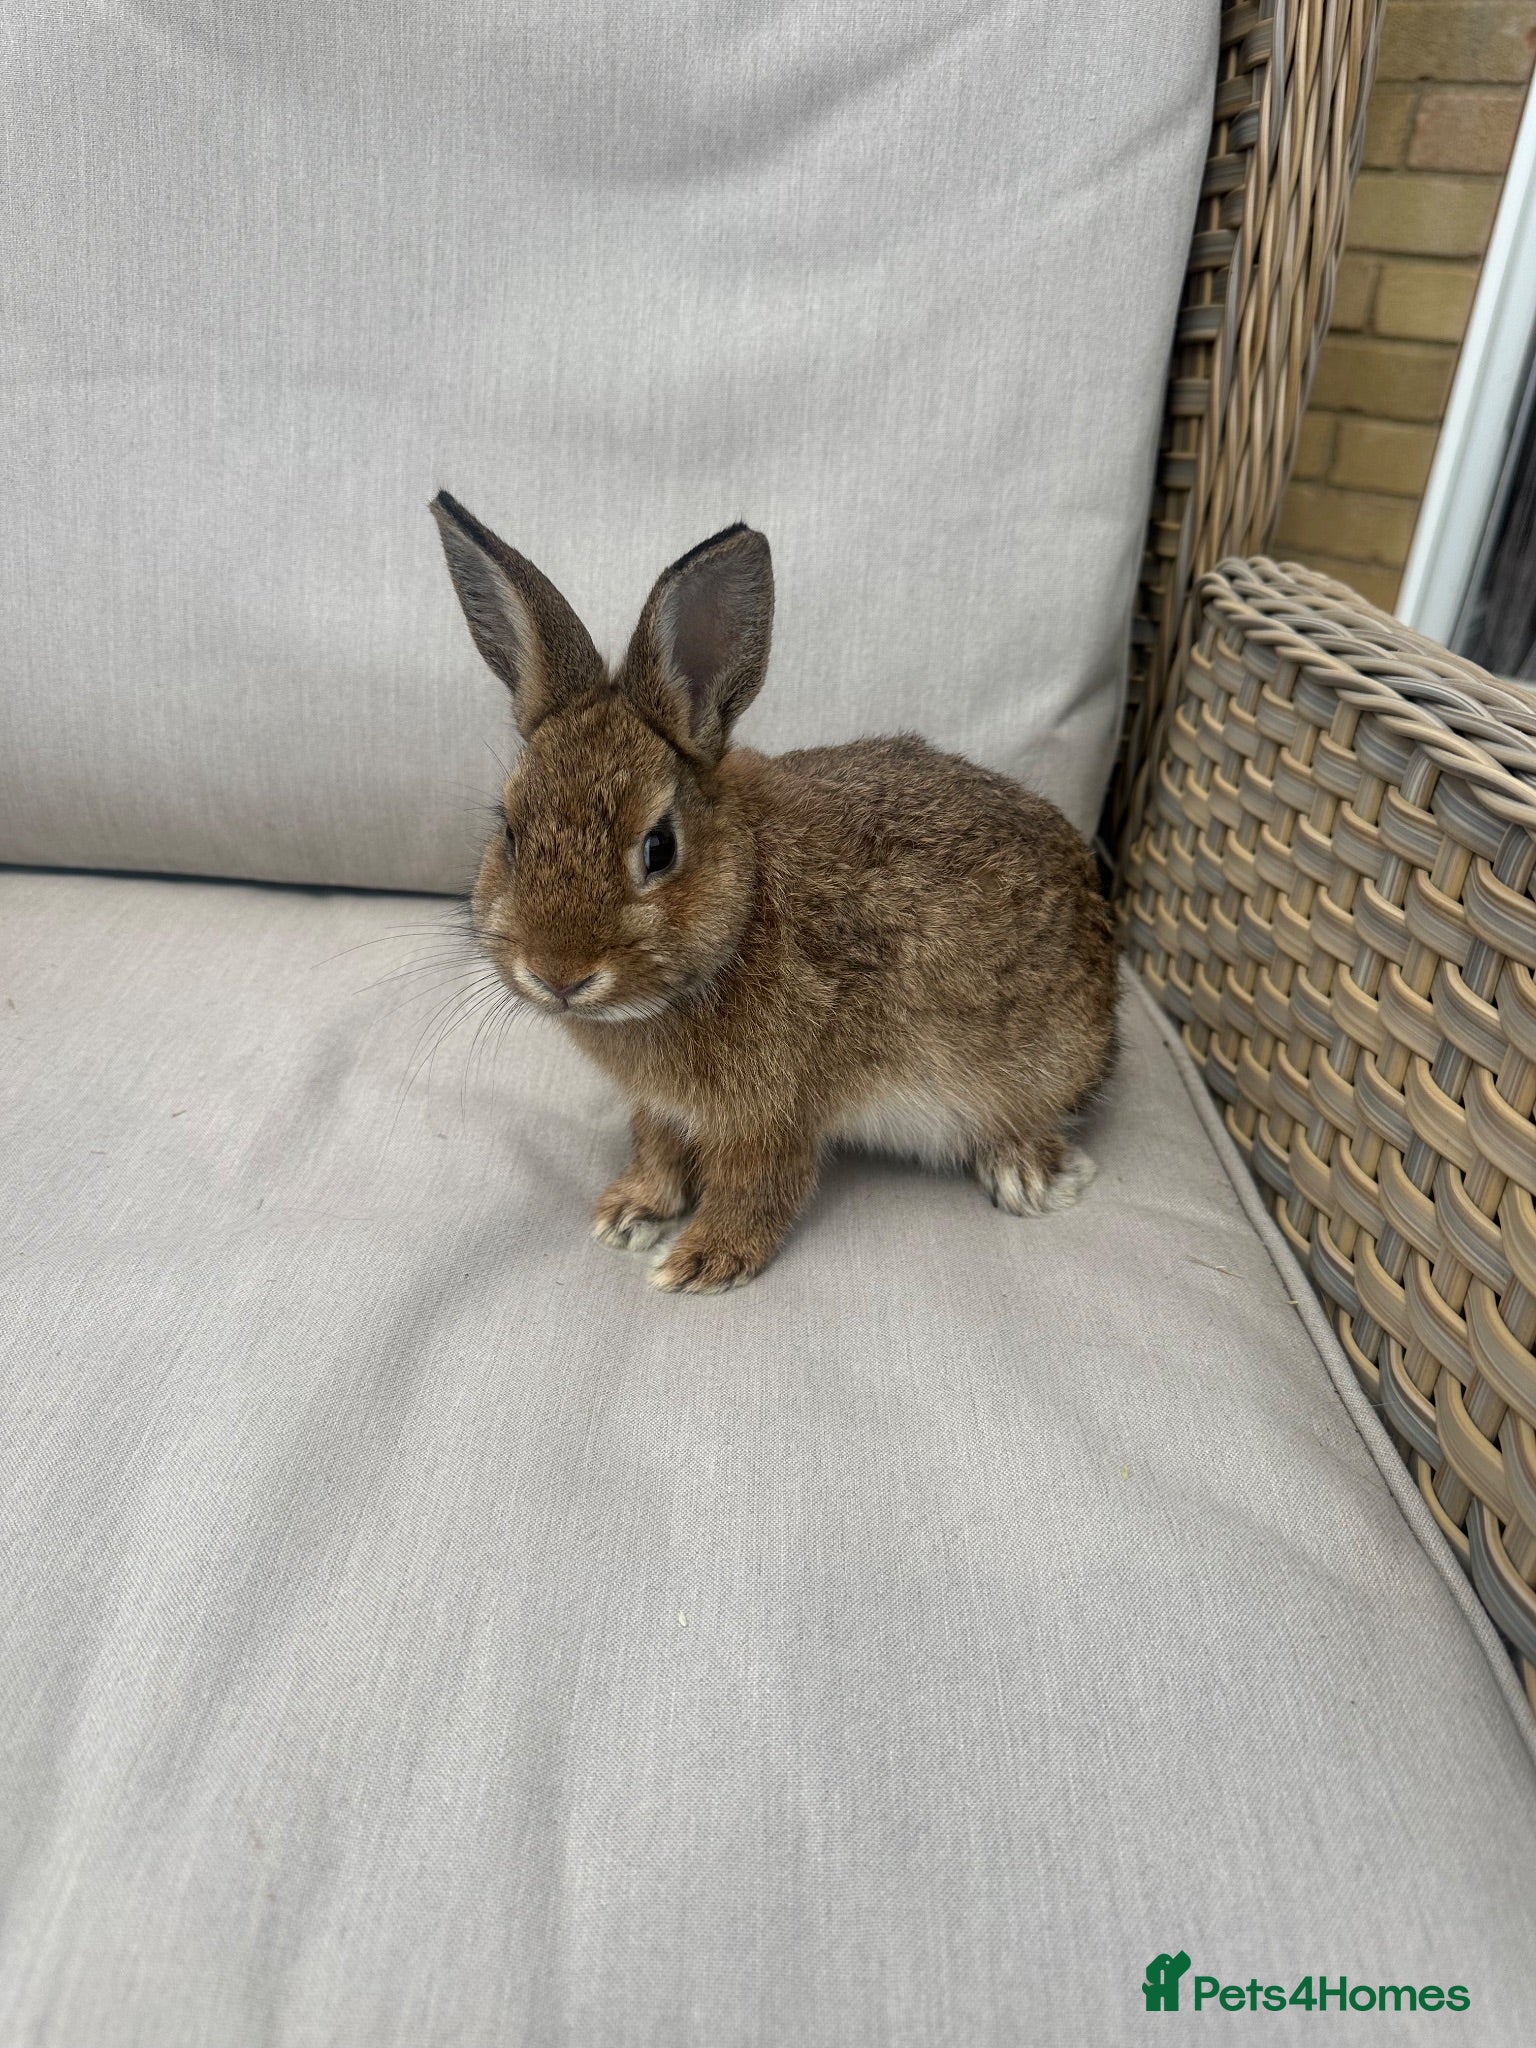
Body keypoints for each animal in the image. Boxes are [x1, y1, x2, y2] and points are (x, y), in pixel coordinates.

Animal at [432, 492, 1119, 1293]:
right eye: (509, 831)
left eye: (659, 847)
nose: (557, 975)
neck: (742, 904)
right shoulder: (664, 1109)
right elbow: (657, 1151)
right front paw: (630, 1213)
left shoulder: (774, 1110)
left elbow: (758, 1186)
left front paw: (702, 1262)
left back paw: (1031, 1175)